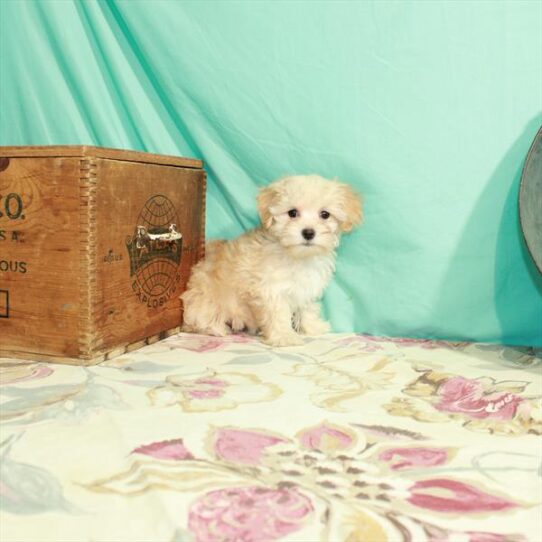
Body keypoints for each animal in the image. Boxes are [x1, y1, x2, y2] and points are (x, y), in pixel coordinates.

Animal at [181, 174, 364, 346]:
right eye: (292, 213)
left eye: (325, 214)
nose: (308, 232)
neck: (297, 256)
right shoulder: (271, 289)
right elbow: (278, 314)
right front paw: (284, 336)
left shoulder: (306, 286)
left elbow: (307, 308)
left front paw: (312, 327)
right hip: (205, 300)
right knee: (199, 320)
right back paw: (217, 328)